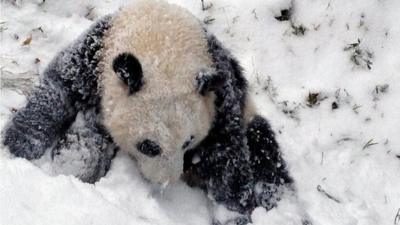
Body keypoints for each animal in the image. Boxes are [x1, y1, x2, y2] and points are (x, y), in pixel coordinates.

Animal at [1, 0, 292, 221]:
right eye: (149, 147)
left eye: (188, 142)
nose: (165, 181)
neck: (164, 46)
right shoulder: (94, 54)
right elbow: (58, 89)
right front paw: (19, 145)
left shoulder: (221, 95)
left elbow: (227, 155)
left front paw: (235, 211)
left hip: (250, 116)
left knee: (264, 151)